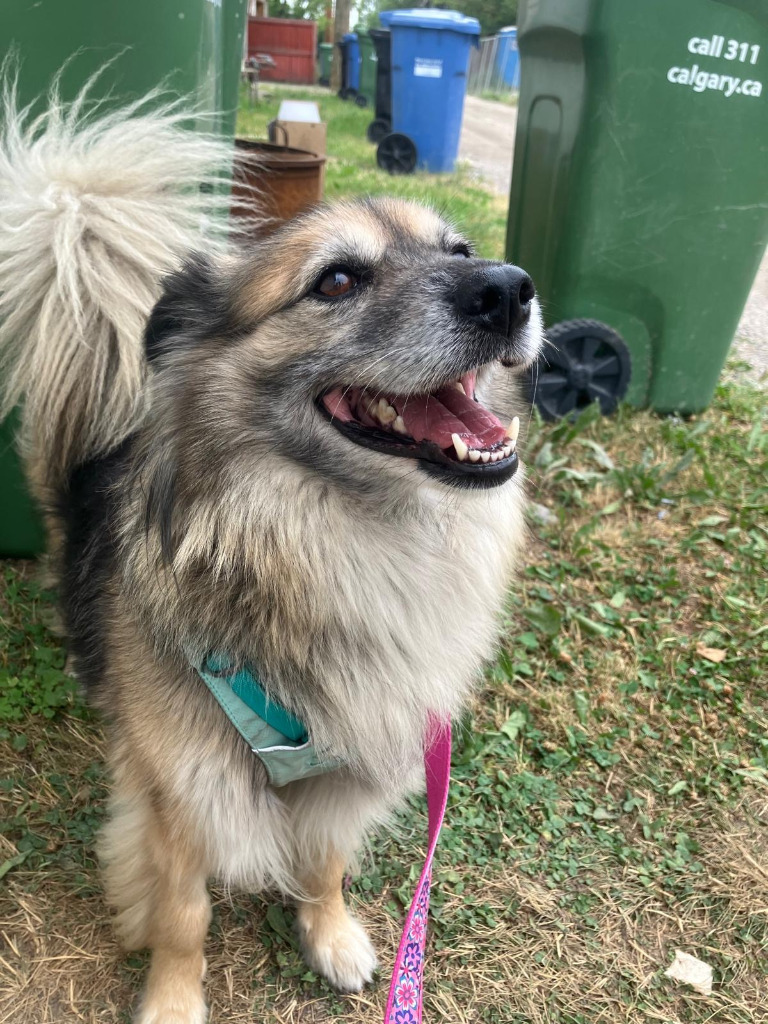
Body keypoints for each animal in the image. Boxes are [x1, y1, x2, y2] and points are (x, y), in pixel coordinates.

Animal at [0, 88, 544, 1024]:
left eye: (461, 252)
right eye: (337, 281)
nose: (508, 289)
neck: (341, 539)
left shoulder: (354, 759)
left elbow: (325, 862)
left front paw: (330, 934)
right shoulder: (181, 791)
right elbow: (183, 915)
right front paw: (173, 1000)